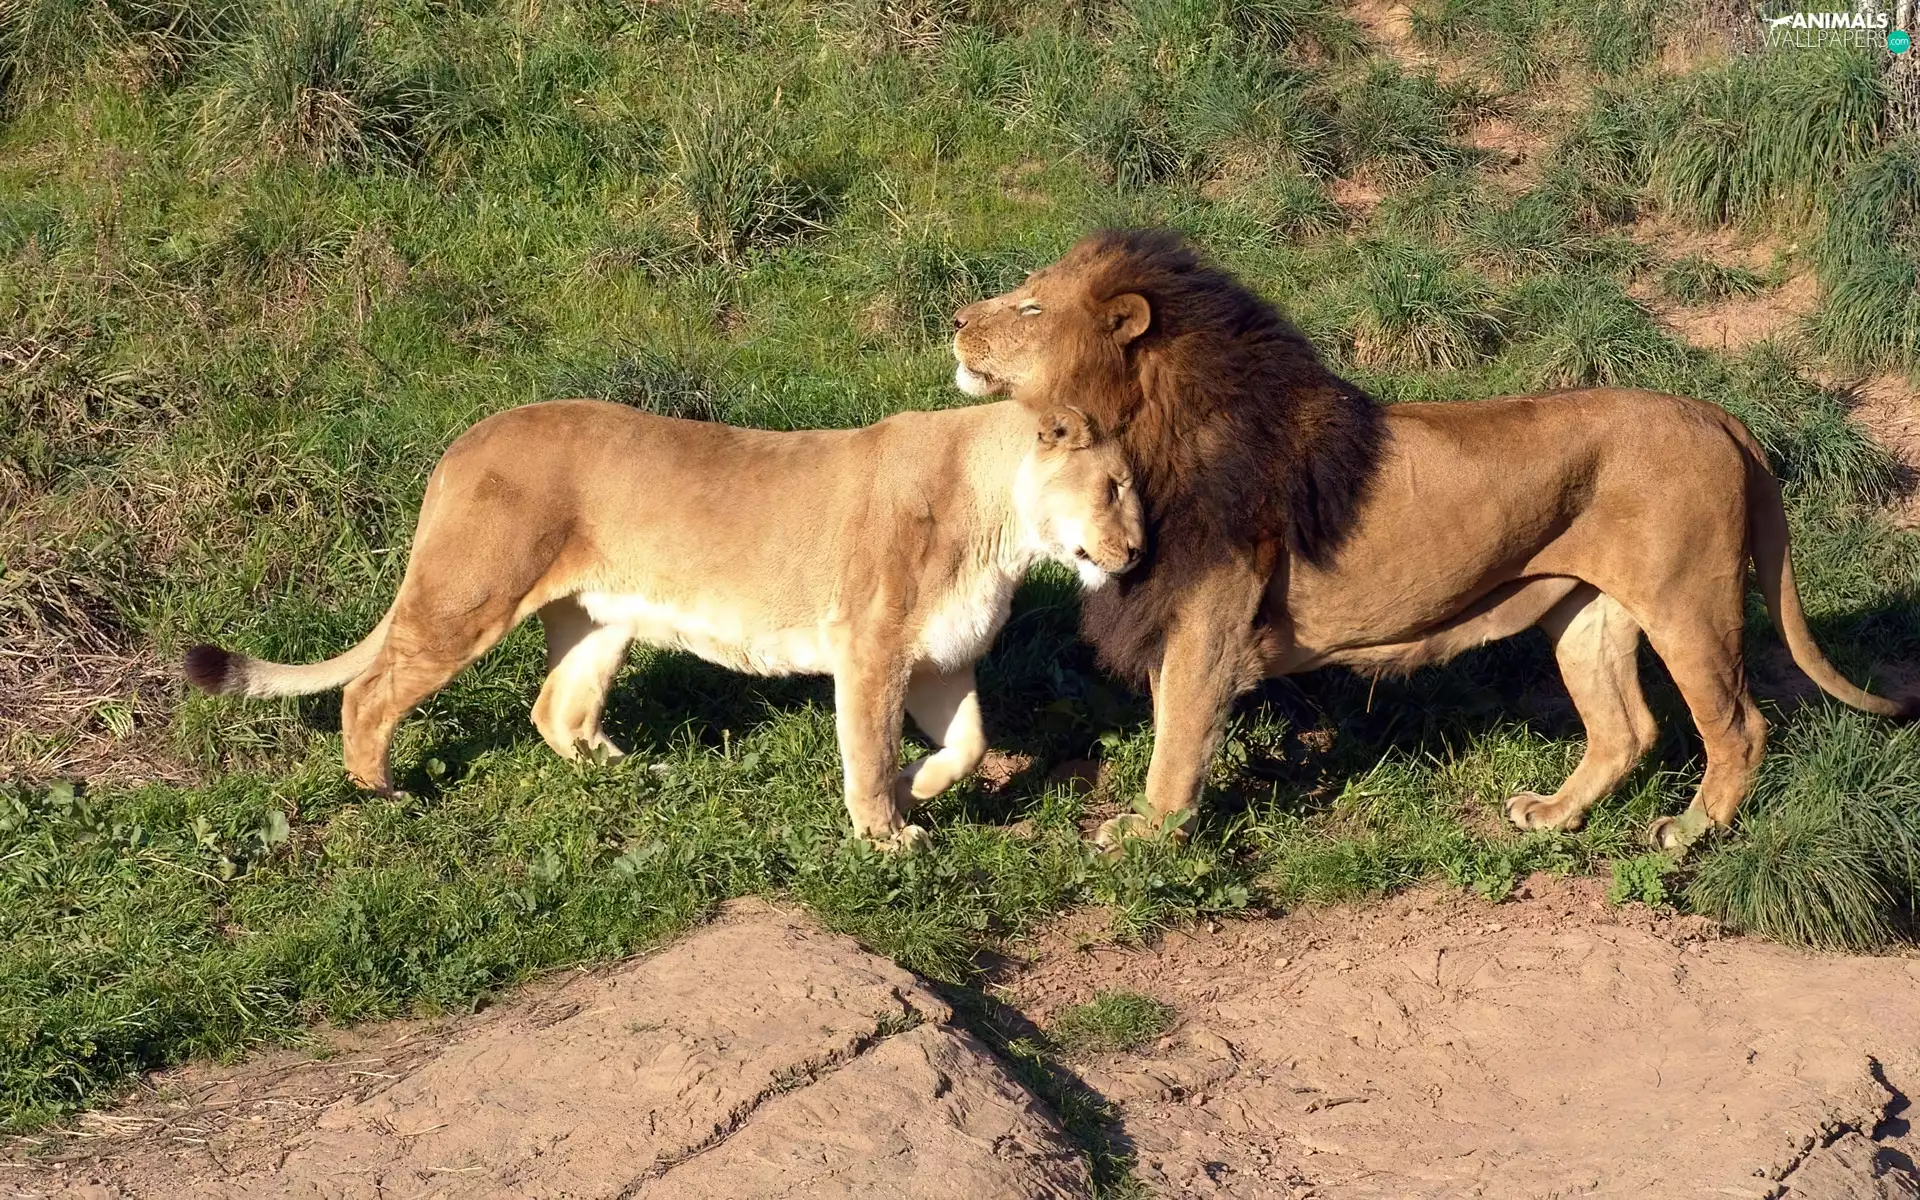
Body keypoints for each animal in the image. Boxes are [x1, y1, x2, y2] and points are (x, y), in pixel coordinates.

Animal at [183, 398, 1143, 845]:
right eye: (1114, 486)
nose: (1136, 552)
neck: (1002, 527)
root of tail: (462, 444)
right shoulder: (870, 649)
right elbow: (867, 752)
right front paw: (886, 834)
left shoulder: (940, 658)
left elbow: (970, 744)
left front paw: (918, 790)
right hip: (469, 596)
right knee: (373, 692)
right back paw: (381, 790)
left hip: (599, 620)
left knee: (555, 709)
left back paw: (630, 773)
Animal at [952, 229, 1910, 849]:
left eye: (1030, 305)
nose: (958, 318)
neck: (1134, 433)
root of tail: (1715, 414)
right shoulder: (1176, 614)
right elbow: (1167, 726)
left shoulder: (1207, 625)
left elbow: (1177, 742)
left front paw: (1148, 836)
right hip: (1587, 612)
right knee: (1626, 729)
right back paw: (1553, 816)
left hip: (1690, 605)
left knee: (1740, 726)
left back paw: (1689, 830)